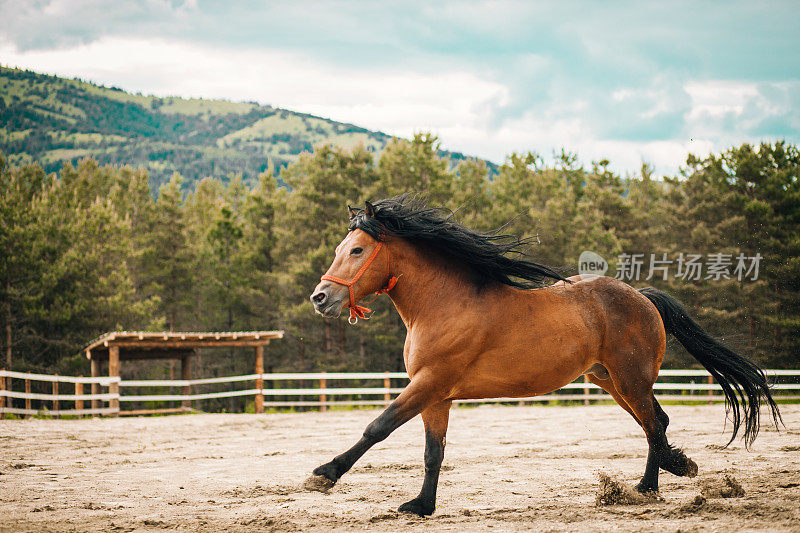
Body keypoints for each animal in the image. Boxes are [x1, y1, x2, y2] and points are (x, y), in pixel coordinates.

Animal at [304, 195, 780, 516]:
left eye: (357, 250)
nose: (320, 298)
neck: (443, 305)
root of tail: (642, 297)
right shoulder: (436, 395)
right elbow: (432, 451)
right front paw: (422, 505)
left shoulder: (430, 383)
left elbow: (378, 427)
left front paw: (324, 475)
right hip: (609, 380)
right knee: (655, 424)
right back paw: (653, 482)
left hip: (630, 379)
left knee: (653, 424)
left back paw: (662, 476)